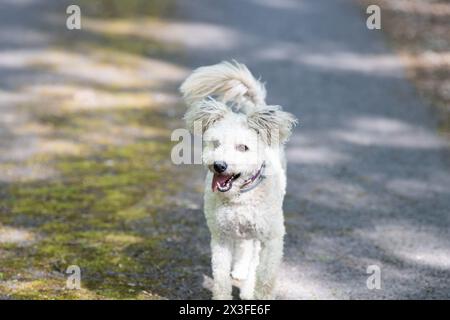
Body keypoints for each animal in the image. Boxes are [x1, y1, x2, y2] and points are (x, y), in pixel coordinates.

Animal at [181, 60, 298, 300]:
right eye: (215, 143)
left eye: (243, 147)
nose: (219, 165)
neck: (240, 196)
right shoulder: (221, 236)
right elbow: (220, 277)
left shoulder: (271, 238)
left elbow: (265, 277)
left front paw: (256, 293)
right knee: (245, 248)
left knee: (252, 254)